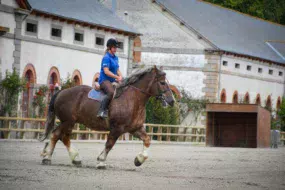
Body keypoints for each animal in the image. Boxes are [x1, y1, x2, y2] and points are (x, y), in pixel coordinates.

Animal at [38, 66, 174, 168]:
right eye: (162, 82)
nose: (171, 101)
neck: (133, 99)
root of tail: (61, 92)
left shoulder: (135, 129)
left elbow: (147, 140)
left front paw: (139, 160)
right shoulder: (117, 129)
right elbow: (109, 144)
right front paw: (101, 161)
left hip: (68, 122)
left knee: (60, 136)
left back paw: (66, 158)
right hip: (68, 121)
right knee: (59, 135)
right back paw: (54, 157)